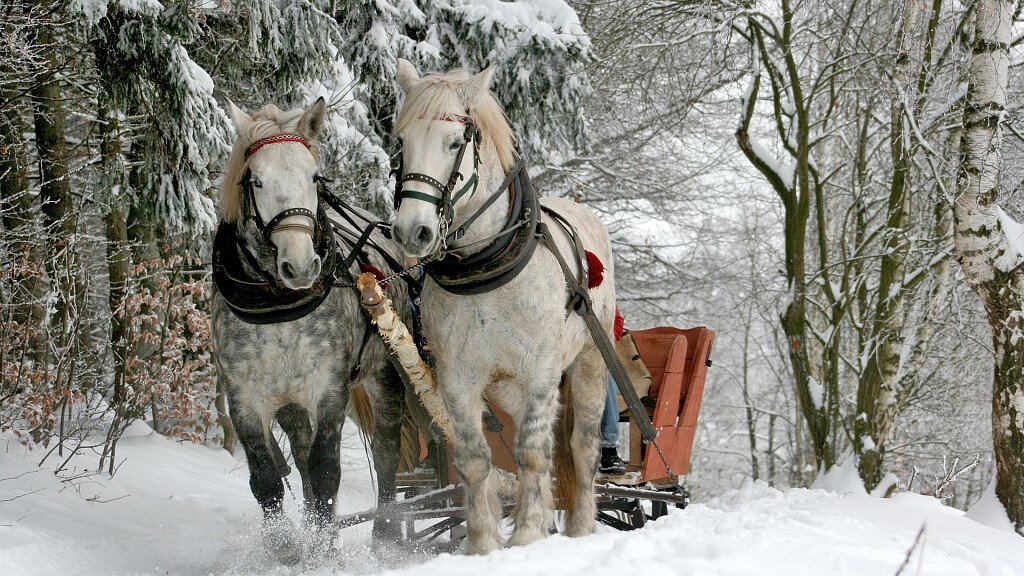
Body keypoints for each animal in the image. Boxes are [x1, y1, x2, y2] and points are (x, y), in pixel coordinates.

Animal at [389, 59, 614, 553]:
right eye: (401, 141)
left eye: (455, 142)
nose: (412, 231)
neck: (485, 269)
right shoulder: (457, 378)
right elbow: (476, 458)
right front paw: (483, 543)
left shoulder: (542, 371)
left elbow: (532, 451)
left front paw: (528, 533)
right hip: (506, 386)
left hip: (589, 361)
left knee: (580, 445)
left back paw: (581, 525)